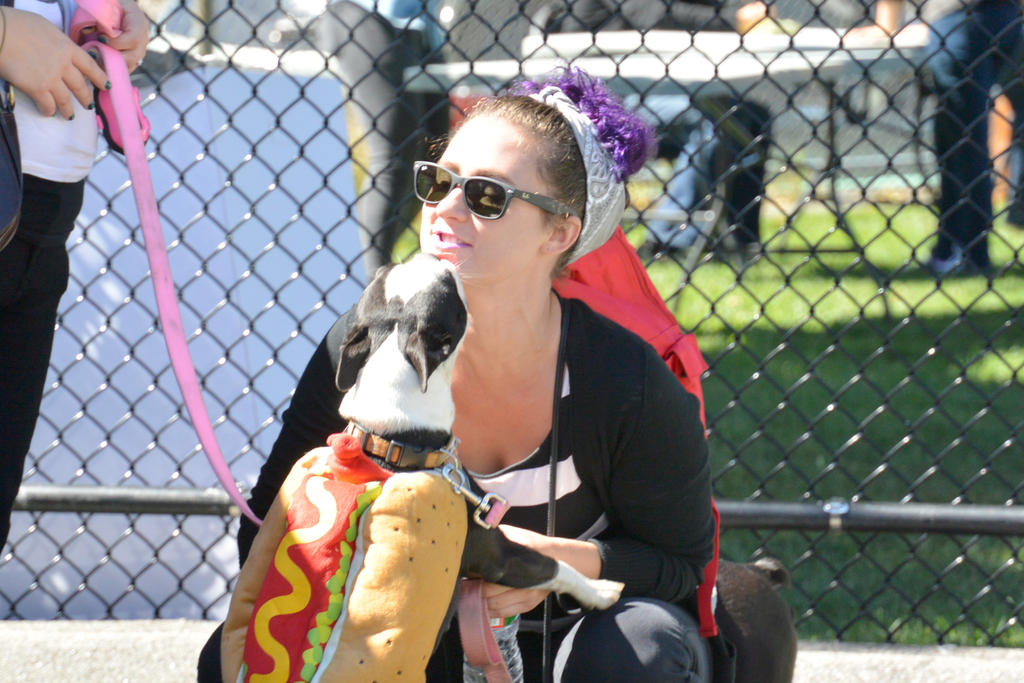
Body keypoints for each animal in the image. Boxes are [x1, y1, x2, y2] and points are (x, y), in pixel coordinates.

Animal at [335, 252, 622, 614]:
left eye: (384, 273)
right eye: (449, 286)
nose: (429, 252)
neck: (395, 438)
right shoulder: (500, 556)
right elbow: (555, 565)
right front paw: (600, 590)